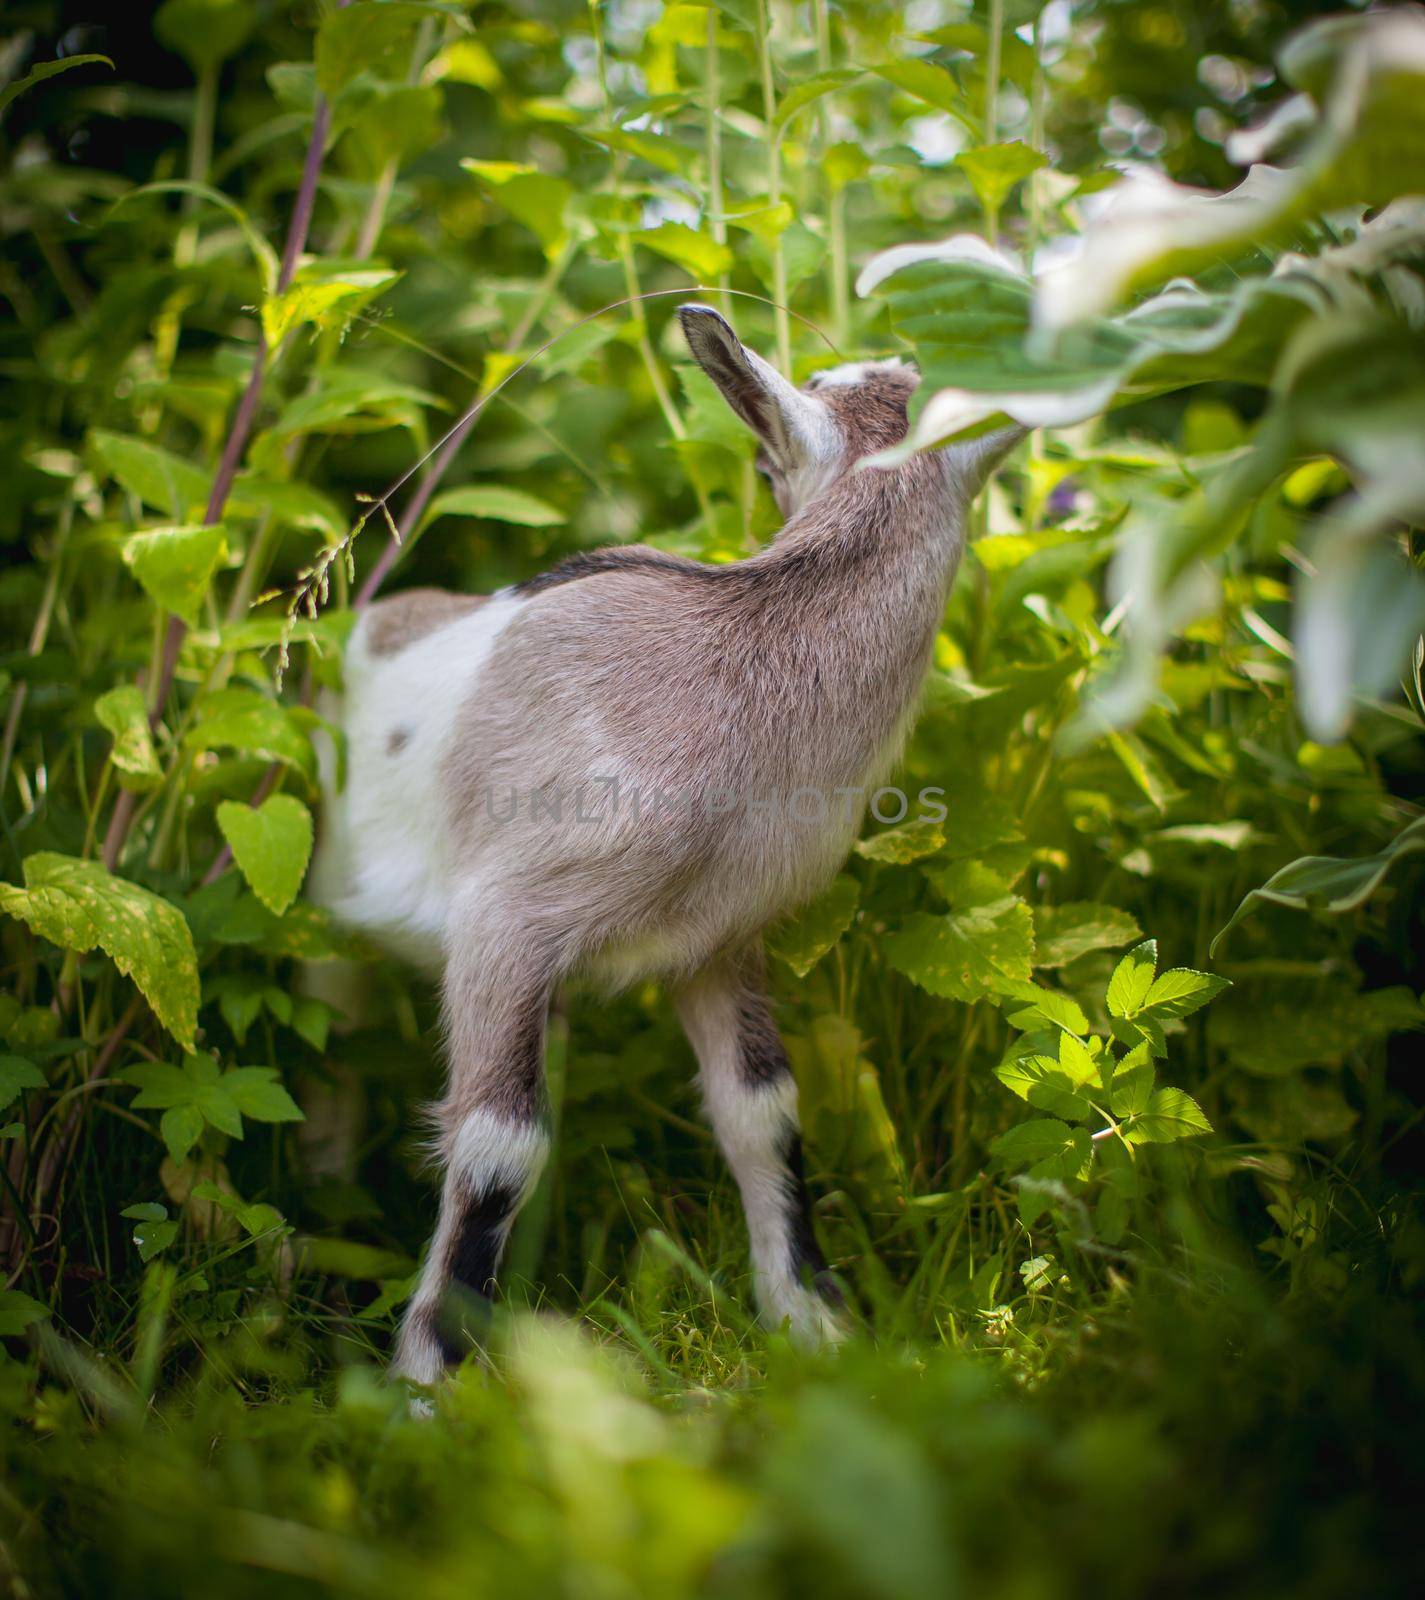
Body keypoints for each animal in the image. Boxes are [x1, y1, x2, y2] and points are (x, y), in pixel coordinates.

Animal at [311, 305, 1023, 1382]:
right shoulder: (502, 927)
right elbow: (497, 1147)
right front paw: (432, 1379)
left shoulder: (719, 937)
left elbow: (763, 1109)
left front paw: (812, 1321)